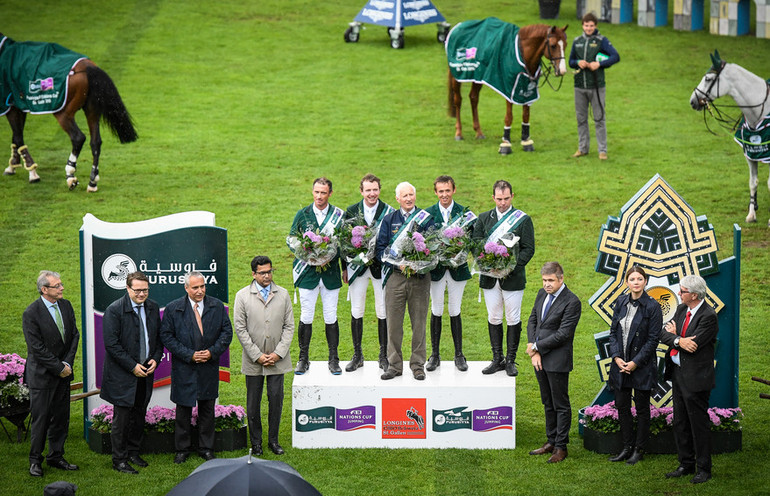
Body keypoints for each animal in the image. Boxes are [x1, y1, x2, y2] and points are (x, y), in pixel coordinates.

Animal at [0, 32, 136, 192]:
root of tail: (87, 66)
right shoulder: (19, 105)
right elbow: (17, 136)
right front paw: (13, 166)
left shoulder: (9, 104)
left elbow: (18, 136)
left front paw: (31, 173)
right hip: (91, 110)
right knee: (95, 142)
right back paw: (92, 182)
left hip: (63, 112)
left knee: (78, 137)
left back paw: (70, 175)